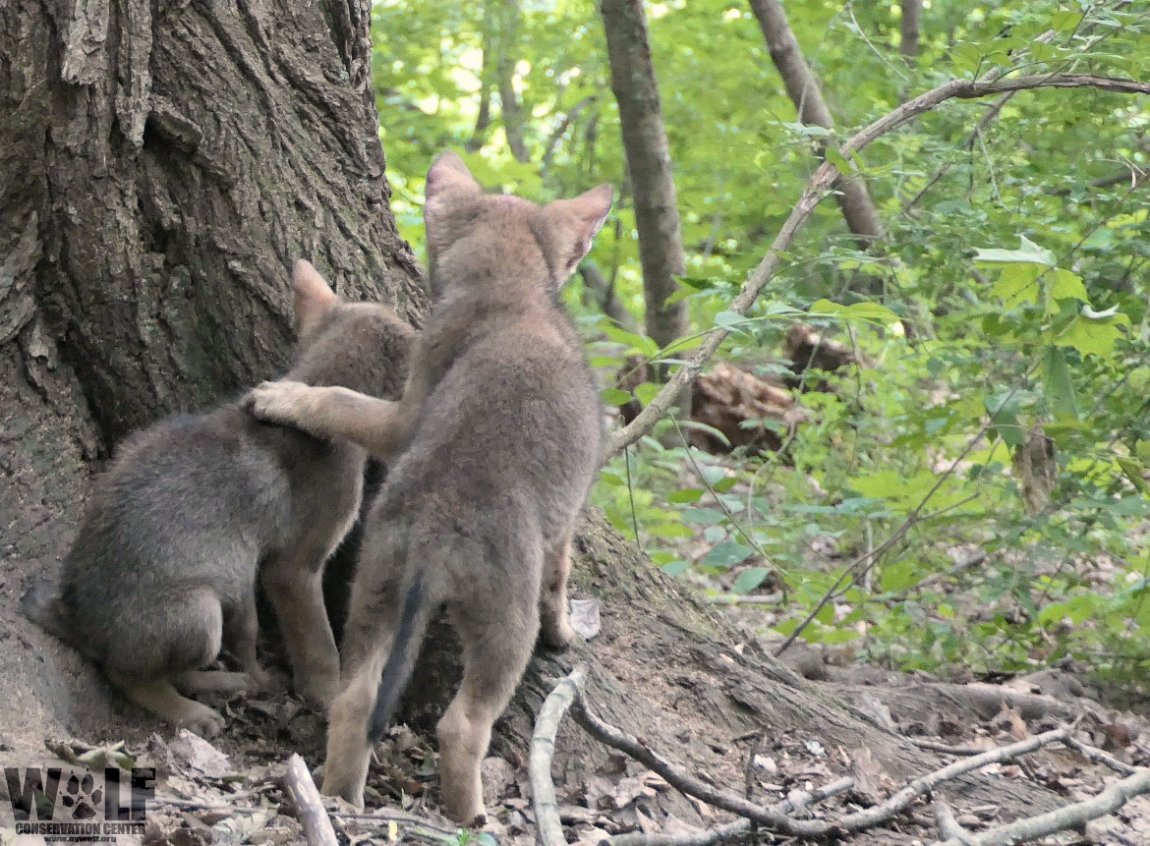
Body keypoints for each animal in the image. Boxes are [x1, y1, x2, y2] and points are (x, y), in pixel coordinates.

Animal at [24, 261, 414, 738]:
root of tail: (77, 620)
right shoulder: (293, 570)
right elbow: (321, 651)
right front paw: (328, 700)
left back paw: (230, 681)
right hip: (202, 614)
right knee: (128, 676)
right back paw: (192, 711)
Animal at [245, 153, 611, 823]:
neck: (511, 295)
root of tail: (439, 527)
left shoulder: (411, 404)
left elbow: (341, 400)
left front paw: (282, 398)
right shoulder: (561, 525)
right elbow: (560, 579)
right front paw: (566, 633)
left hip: (375, 595)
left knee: (355, 702)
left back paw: (339, 798)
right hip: (501, 635)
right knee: (461, 727)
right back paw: (472, 818)